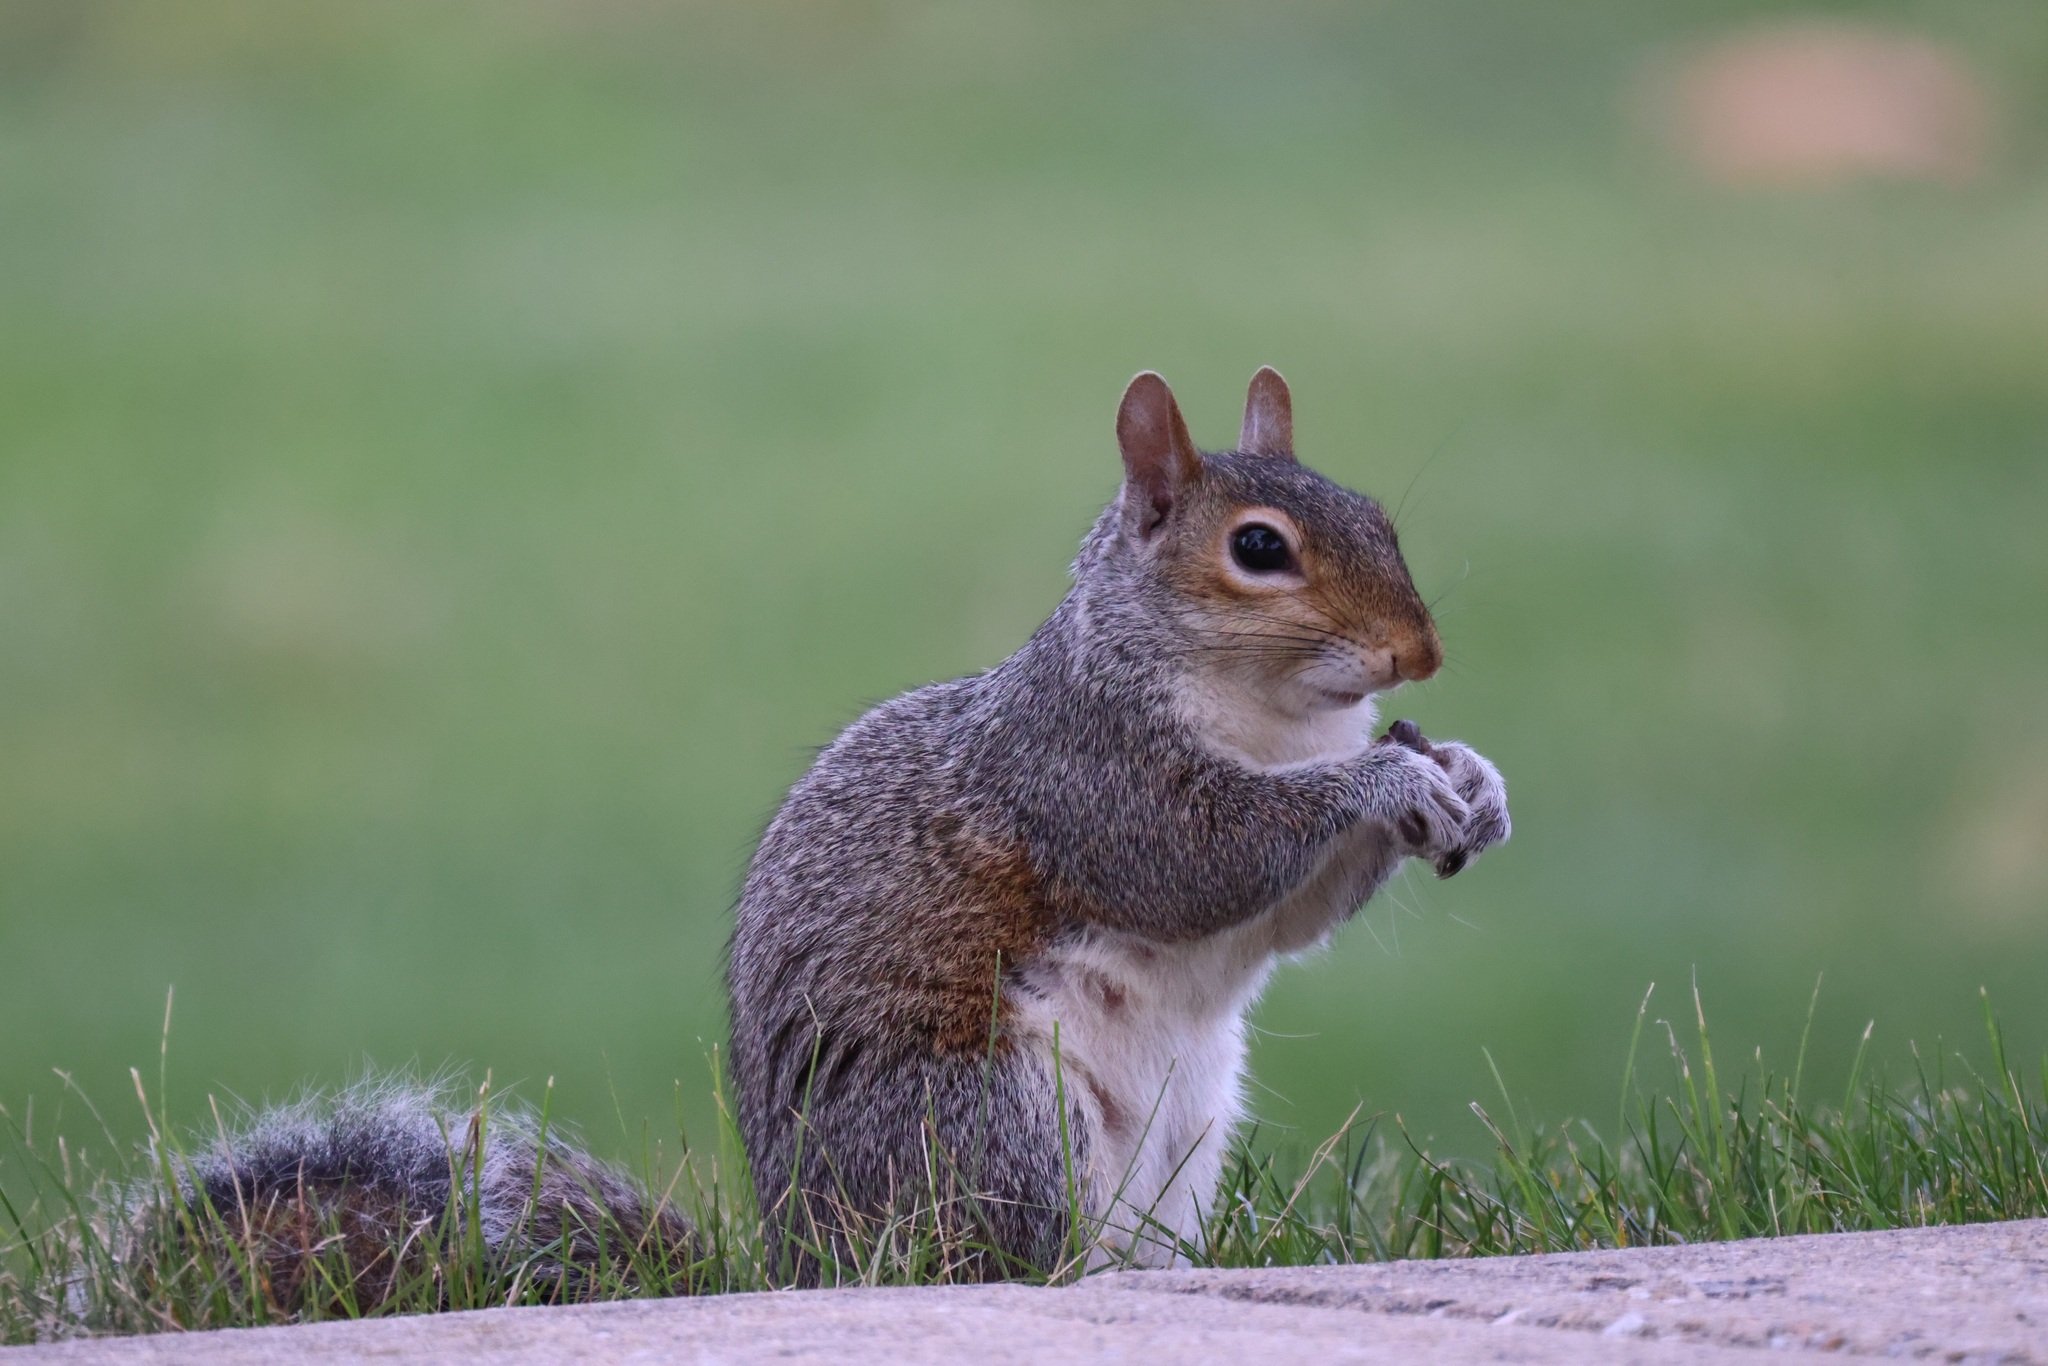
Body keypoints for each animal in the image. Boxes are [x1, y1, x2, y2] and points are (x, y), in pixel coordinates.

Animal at [155, 366, 1507, 1302]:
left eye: (1378, 516)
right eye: (1257, 548)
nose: (1420, 655)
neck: (1279, 720)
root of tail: (809, 1256)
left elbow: (1287, 917)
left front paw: (1468, 779)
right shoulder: (1086, 777)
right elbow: (1202, 859)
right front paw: (1382, 781)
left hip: (1178, 1148)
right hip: (993, 1119)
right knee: (999, 1255)